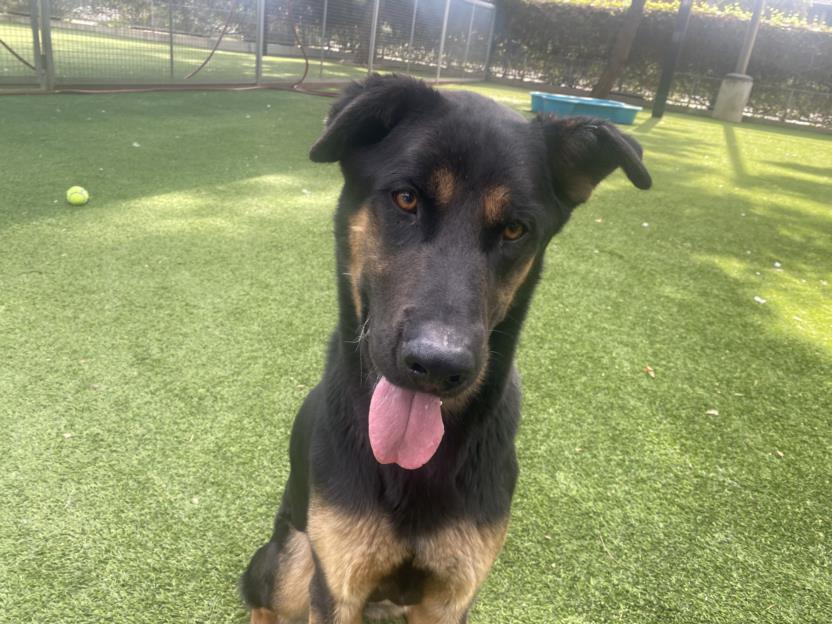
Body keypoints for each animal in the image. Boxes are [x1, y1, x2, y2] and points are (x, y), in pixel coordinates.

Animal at [240, 74, 648, 624]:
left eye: (515, 229)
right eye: (406, 199)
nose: (437, 366)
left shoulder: (451, 596)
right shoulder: (337, 585)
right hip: (294, 560)